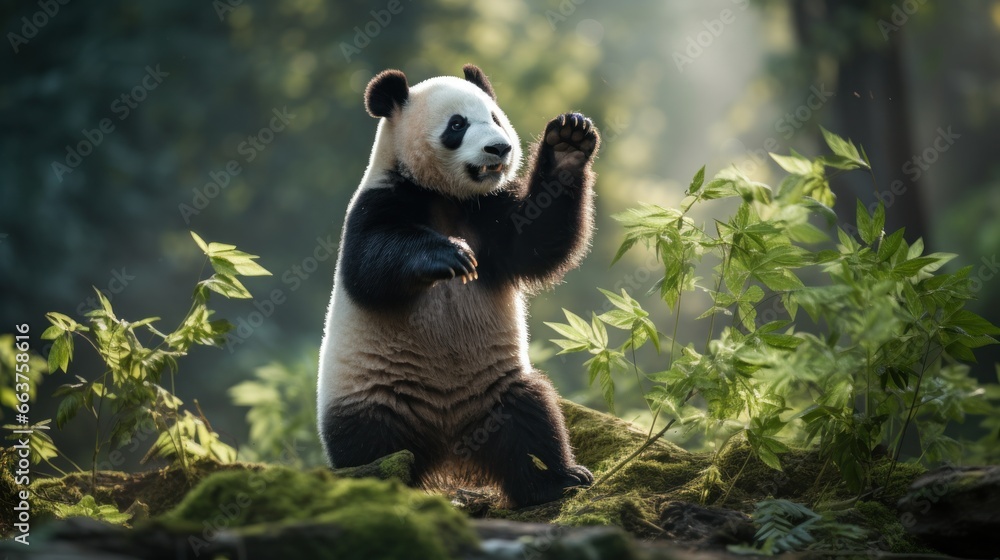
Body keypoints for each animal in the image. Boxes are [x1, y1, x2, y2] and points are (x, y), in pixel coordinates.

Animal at [318, 64, 600, 508]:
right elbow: (369, 268)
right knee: (370, 443)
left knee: (529, 418)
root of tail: (449, 447)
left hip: (493, 390)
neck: (445, 197)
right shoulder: (377, 203)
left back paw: (555, 480)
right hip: (373, 396)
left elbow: (537, 241)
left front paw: (569, 140)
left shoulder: (491, 212)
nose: (499, 149)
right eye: (457, 125)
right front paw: (448, 256)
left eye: (496, 118)